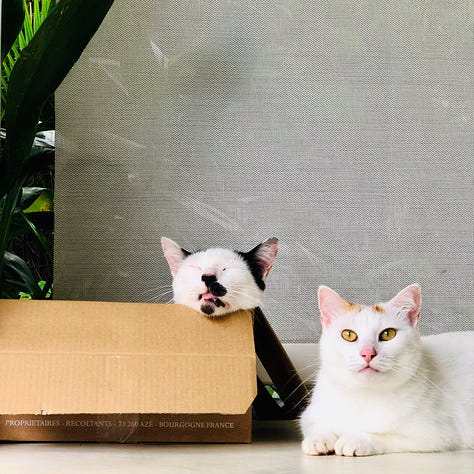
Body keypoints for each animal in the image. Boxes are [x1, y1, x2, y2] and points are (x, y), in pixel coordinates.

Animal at [300, 284, 474, 458]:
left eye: (388, 334)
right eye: (348, 335)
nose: (367, 353)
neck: (364, 394)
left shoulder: (435, 435)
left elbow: (385, 435)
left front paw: (355, 439)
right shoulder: (309, 415)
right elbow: (315, 425)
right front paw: (319, 438)